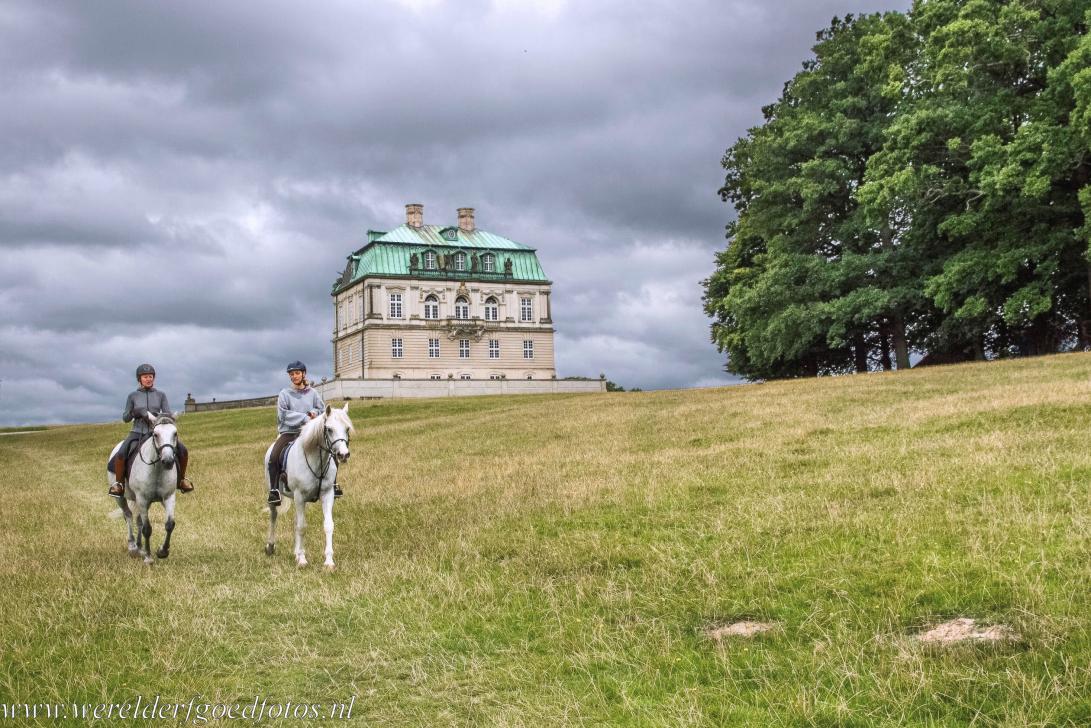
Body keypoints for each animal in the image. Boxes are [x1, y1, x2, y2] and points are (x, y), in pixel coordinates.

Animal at [107, 413, 181, 565]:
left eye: (175, 433)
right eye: (156, 434)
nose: (168, 461)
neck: (157, 469)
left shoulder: (168, 497)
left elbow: (170, 524)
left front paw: (162, 551)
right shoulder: (142, 498)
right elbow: (147, 529)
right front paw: (148, 557)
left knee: (138, 520)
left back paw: (140, 547)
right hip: (121, 498)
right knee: (128, 515)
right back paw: (133, 547)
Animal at [264, 403, 353, 569]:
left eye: (347, 428)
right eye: (329, 429)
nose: (343, 455)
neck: (316, 461)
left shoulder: (327, 494)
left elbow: (328, 525)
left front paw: (328, 561)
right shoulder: (299, 496)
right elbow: (302, 526)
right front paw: (302, 559)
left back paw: (295, 553)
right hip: (274, 493)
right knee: (274, 515)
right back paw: (270, 546)